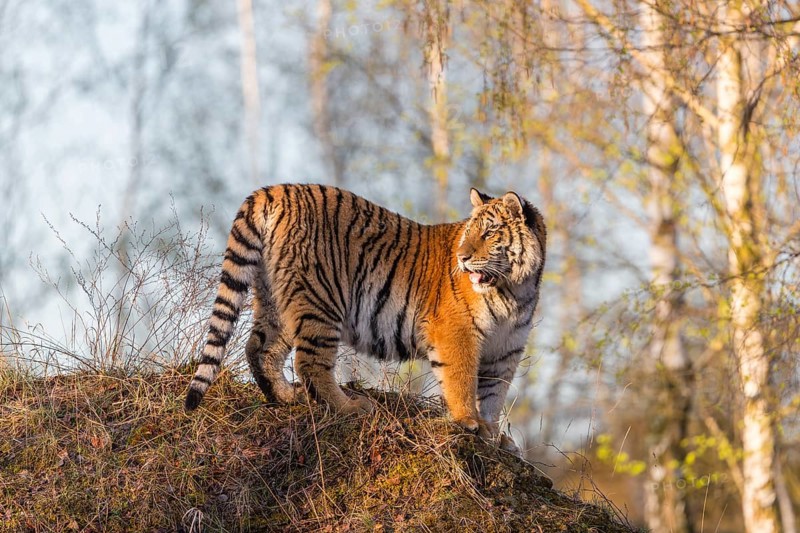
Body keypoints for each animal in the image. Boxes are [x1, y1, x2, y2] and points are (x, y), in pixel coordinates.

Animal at [185, 184, 546, 451]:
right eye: (470, 232)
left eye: (489, 233)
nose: (462, 257)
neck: (515, 288)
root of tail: (275, 190)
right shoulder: (457, 332)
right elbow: (462, 380)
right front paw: (468, 421)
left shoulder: (506, 350)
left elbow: (494, 394)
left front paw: (493, 434)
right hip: (320, 299)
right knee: (309, 363)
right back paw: (350, 407)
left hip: (277, 300)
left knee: (260, 349)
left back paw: (286, 397)